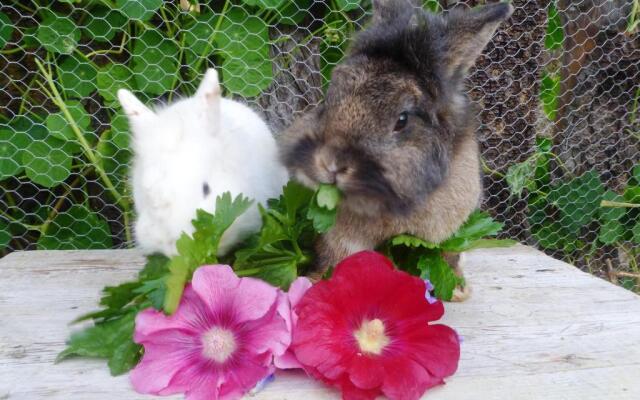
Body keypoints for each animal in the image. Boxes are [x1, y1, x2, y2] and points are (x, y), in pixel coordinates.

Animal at [278, 0, 512, 296]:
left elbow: (448, 255)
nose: (330, 162)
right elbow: (337, 257)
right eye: (330, 98)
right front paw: (317, 281)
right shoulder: (341, 237)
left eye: (402, 119)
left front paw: (458, 291)